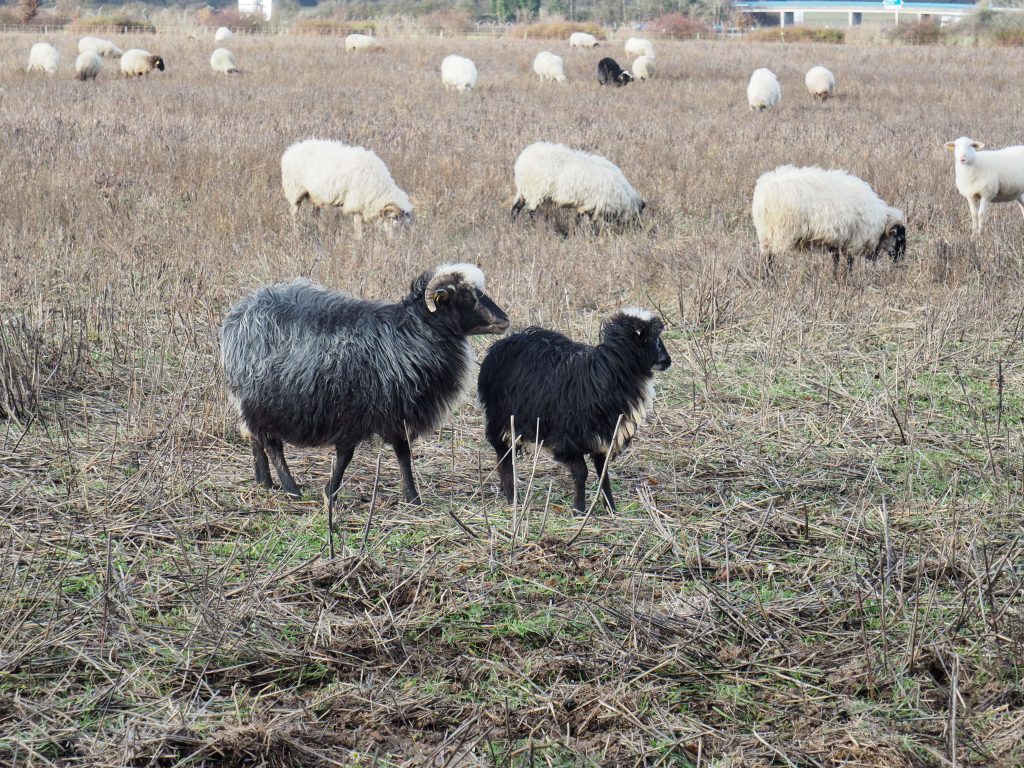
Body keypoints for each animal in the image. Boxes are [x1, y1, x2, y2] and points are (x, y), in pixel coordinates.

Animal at [224, 264, 512, 505]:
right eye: (467, 297)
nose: (504, 320)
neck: (412, 333)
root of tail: (239, 313)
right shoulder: (354, 409)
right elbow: (345, 455)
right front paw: (331, 492)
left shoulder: (397, 411)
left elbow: (403, 454)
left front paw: (412, 498)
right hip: (262, 400)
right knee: (272, 444)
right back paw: (290, 487)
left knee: (255, 438)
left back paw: (265, 482)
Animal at [280, 137, 411, 236]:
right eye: (393, 217)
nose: (394, 240)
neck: (379, 188)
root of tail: (289, 151)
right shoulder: (356, 203)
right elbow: (358, 227)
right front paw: (359, 242)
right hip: (295, 190)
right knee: (293, 212)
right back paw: (296, 233)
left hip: (314, 195)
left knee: (315, 215)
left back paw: (322, 232)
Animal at [473, 309, 667, 518]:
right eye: (652, 338)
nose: (668, 361)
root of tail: (502, 343)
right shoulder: (568, 441)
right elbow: (581, 473)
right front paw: (579, 509)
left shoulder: (604, 438)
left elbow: (603, 473)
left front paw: (611, 508)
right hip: (502, 419)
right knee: (504, 456)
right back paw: (512, 497)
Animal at [509, 141, 643, 227]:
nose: (639, 228)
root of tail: (522, 160)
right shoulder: (592, 204)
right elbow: (585, 220)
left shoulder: (586, 205)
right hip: (535, 191)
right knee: (530, 211)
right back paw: (535, 226)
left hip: (524, 191)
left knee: (516, 206)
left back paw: (513, 224)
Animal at [749, 165, 909, 270]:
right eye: (900, 238)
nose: (900, 260)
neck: (881, 223)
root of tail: (764, 190)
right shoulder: (853, 239)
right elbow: (849, 261)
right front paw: (846, 278)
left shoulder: (836, 238)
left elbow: (836, 259)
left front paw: (835, 276)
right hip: (780, 230)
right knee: (770, 256)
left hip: (765, 233)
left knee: (767, 255)